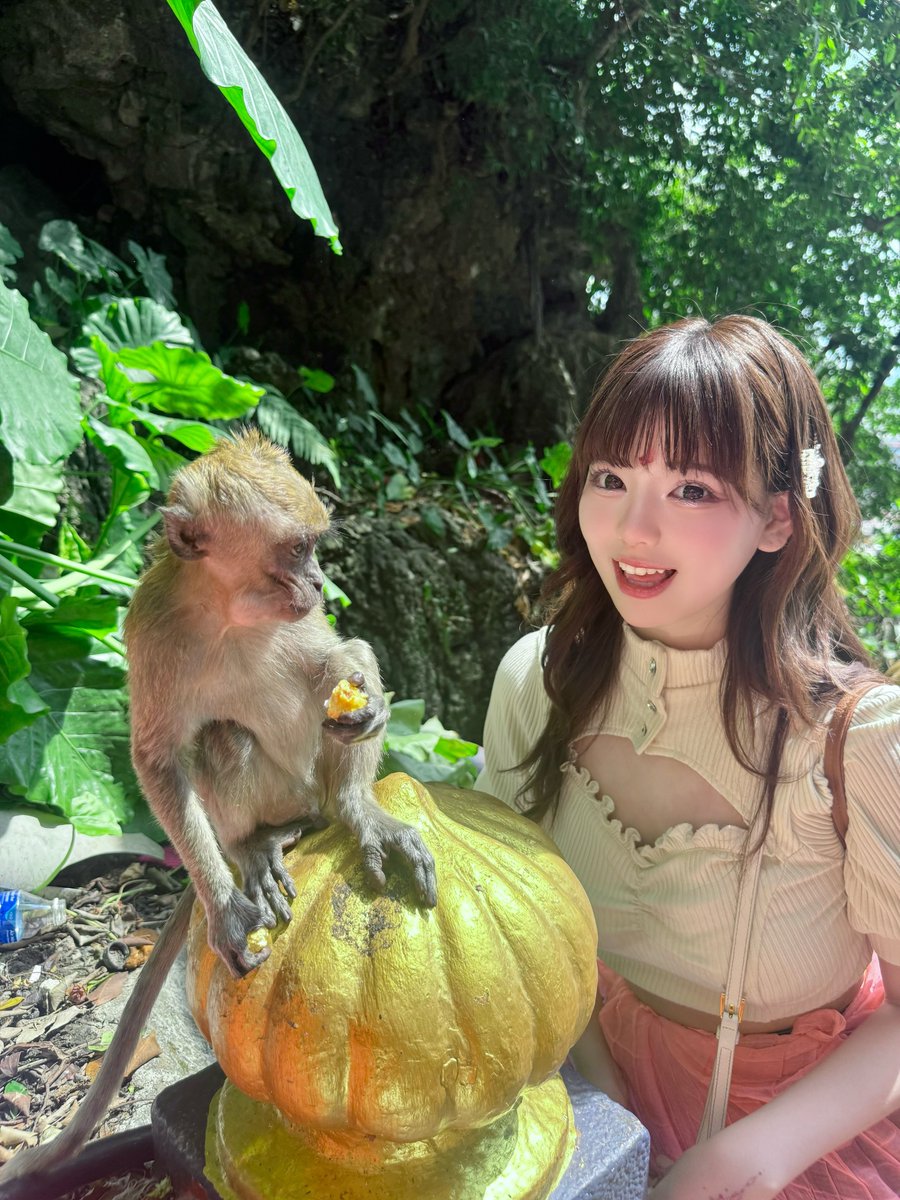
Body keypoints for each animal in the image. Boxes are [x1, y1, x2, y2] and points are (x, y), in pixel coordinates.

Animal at [0, 431, 436, 1191]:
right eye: (296, 550)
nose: (318, 583)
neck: (230, 611)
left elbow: (343, 658)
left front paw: (367, 711)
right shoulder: (148, 630)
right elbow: (156, 759)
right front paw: (227, 909)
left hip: (311, 782)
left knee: (328, 699)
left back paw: (351, 812)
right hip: (264, 795)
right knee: (221, 739)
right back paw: (255, 848)